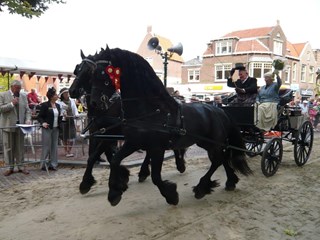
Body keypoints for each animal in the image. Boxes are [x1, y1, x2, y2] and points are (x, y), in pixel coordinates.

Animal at [69, 51, 185, 193]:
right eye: (77, 69)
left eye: (89, 72)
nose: (72, 91)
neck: (106, 108)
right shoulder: (100, 134)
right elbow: (95, 156)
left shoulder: (110, 134)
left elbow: (99, 155)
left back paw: (175, 165)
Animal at [87, 46, 252, 205]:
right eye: (92, 75)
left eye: (103, 74)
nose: (94, 103)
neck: (152, 110)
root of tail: (219, 110)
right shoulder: (133, 142)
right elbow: (115, 160)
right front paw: (114, 192)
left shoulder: (156, 148)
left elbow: (155, 177)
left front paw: (171, 195)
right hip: (205, 142)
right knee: (222, 158)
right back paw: (230, 181)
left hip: (214, 142)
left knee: (217, 159)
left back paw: (201, 188)